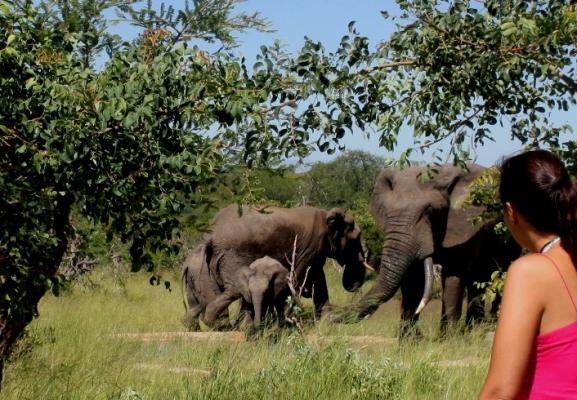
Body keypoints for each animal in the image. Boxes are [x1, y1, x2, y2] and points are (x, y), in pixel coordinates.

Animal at [182, 205, 366, 330]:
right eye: (356, 238)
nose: (354, 286)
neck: (326, 215)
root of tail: (211, 235)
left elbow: (318, 281)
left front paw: (327, 322)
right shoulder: (311, 247)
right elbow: (301, 279)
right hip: (233, 256)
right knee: (238, 291)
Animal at [330, 164, 520, 336]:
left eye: (431, 212)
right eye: (387, 212)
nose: (331, 316)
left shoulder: (464, 228)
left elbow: (453, 275)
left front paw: (448, 341)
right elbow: (412, 279)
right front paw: (409, 341)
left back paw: (481, 331)